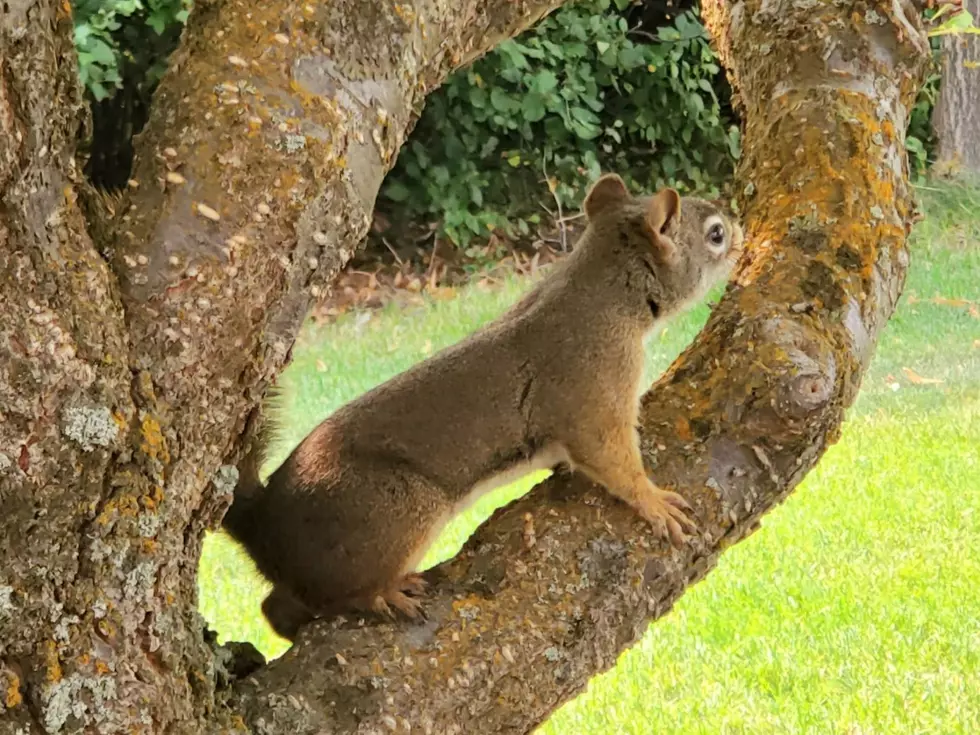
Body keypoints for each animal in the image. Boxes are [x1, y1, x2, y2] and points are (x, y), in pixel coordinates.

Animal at [222, 175, 744, 640]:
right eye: (715, 234)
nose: (741, 235)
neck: (600, 294)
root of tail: (261, 522)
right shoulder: (591, 387)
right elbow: (609, 456)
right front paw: (653, 501)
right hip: (393, 510)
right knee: (329, 592)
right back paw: (381, 595)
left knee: (277, 605)